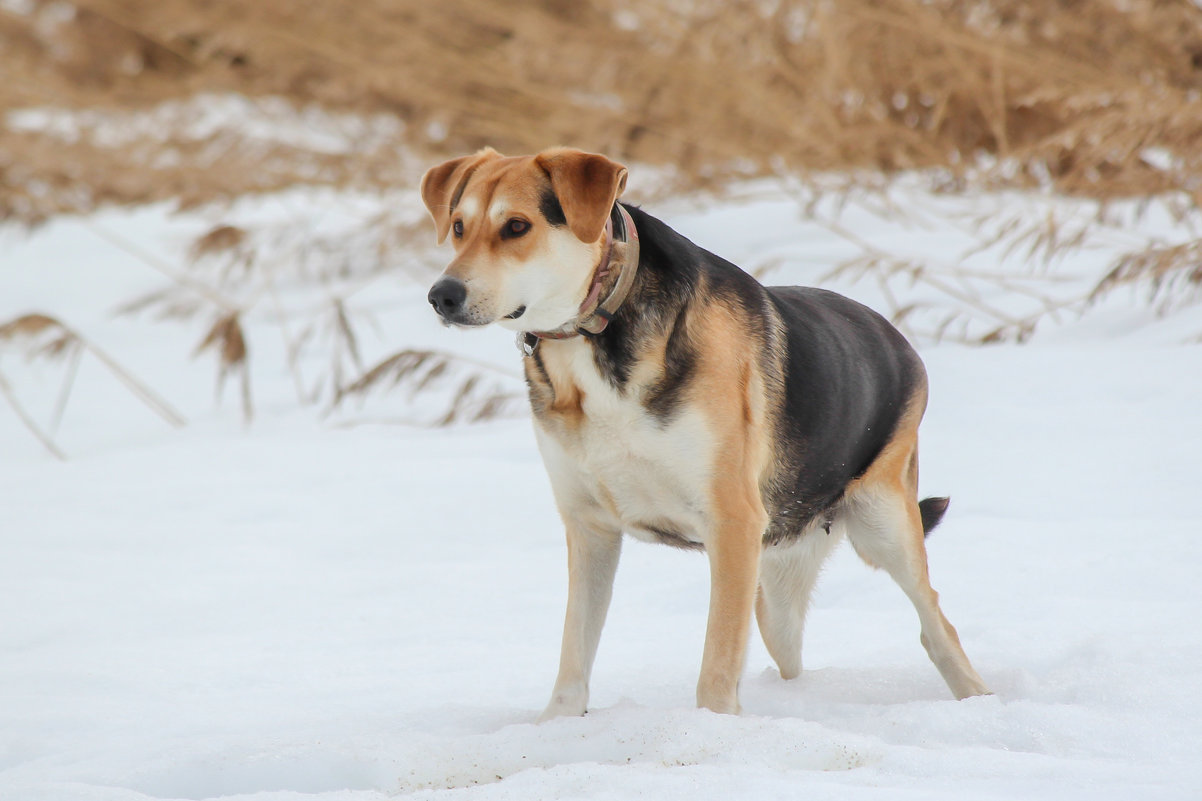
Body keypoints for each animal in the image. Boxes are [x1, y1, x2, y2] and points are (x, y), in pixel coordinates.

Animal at [418, 146, 990, 712]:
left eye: (516, 226)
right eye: (459, 226)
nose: (441, 295)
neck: (595, 332)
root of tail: (899, 340)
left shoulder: (731, 521)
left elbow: (716, 667)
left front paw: (710, 728)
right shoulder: (589, 526)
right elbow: (574, 653)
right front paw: (558, 725)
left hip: (883, 523)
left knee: (936, 627)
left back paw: (976, 699)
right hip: (778, 582)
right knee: (789, 642)